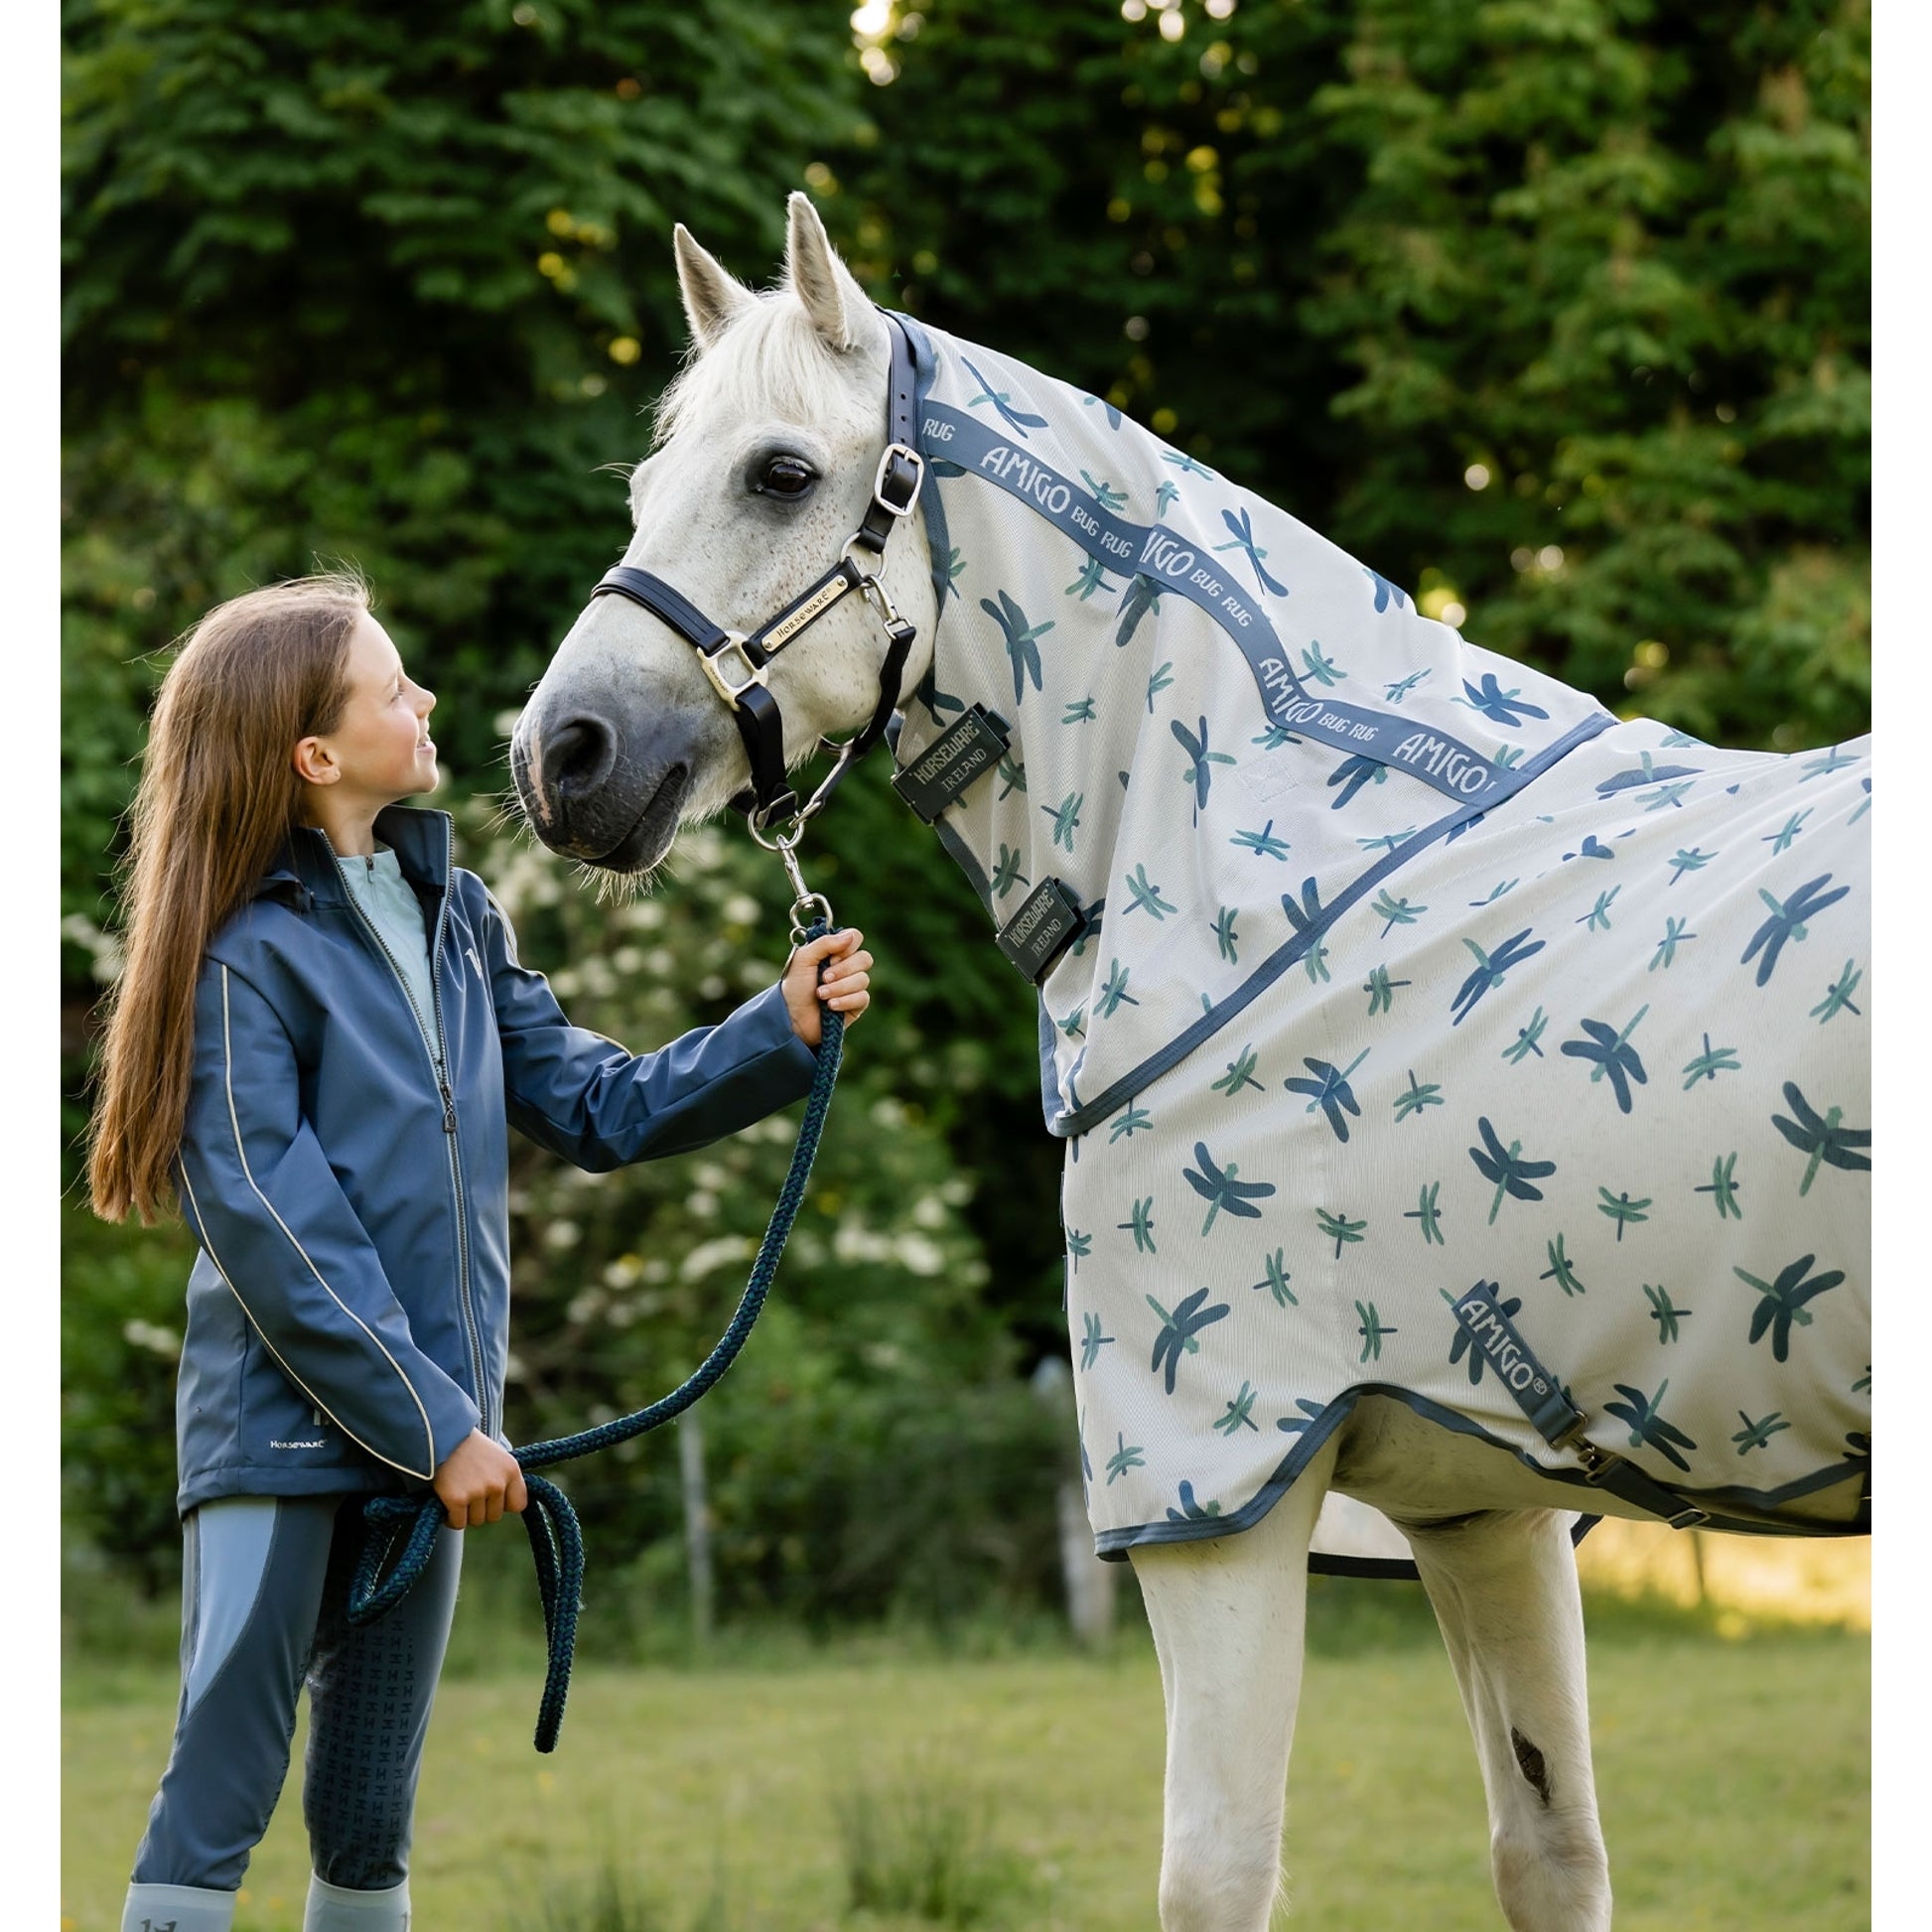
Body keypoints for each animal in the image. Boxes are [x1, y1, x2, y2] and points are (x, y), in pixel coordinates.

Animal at [509, 194, 1870, 1932]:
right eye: (646, 484)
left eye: (780, 474)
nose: (559, 757)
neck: (1266, 873)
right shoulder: (1480, 1504)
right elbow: (1547, 1853)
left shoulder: (1219, 1504)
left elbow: (1215, 1872)